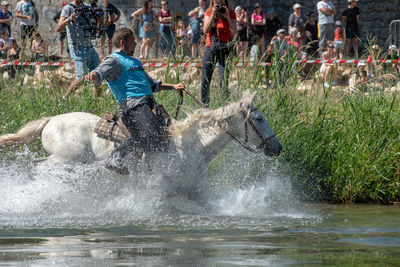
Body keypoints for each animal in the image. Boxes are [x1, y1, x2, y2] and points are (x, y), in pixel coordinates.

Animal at [0, 92, 282, 199]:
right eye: (259, 119)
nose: (277, 148)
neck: (190, 148)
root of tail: (50, 120)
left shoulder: (194, 190)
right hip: (64, 159)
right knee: (40, 168)